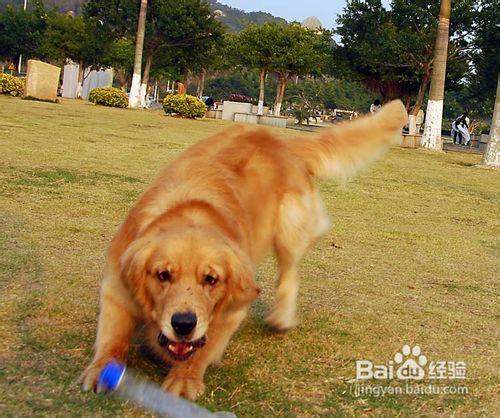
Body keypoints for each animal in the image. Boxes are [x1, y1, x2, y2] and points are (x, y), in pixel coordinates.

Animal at [82, 100, 408, 398]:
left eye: (211, 279)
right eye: (163, 275)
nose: (184, 324)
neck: (191, 211)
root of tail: (285, 142)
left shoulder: (234, 304)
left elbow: (205, 346)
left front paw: (185, 378)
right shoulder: (118, 281)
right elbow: (113, 333)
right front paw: (102, 367)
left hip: (290, 228)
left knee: (289, 275)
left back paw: (281, 318)